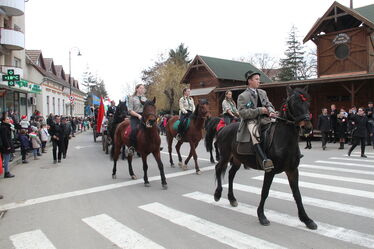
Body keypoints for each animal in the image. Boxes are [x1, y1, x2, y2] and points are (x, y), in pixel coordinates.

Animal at [212, 86, 318, 230]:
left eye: (308, 103)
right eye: (294, 104)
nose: (307, 128)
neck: (284, 140)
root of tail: (223, 129)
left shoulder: (292, 170)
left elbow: (297, 194)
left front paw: (306, 219)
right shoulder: (270, 171)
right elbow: (265, 192)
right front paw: (261, 216)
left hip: (237, 160)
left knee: (231, 174)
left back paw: (232, 199)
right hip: (225, 156)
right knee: (218, 168)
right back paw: (217, 194)